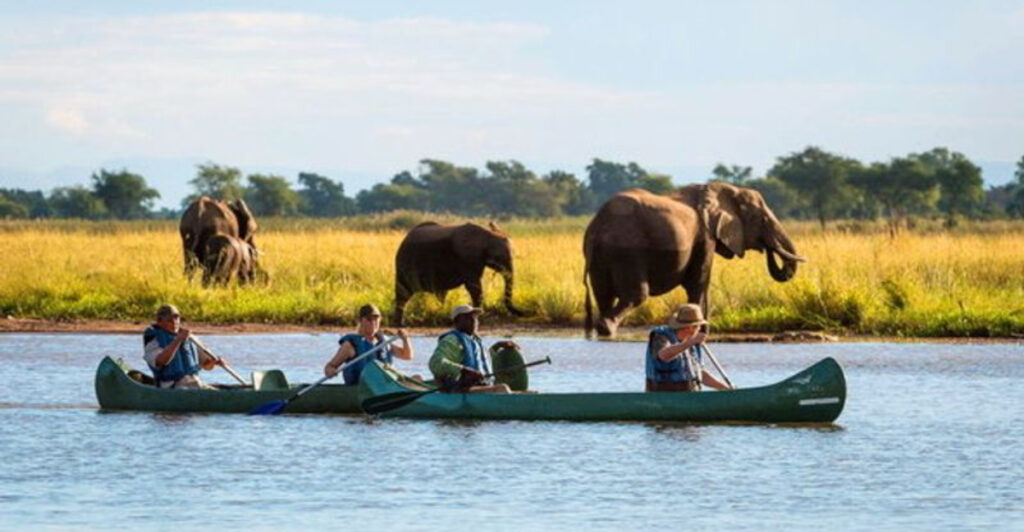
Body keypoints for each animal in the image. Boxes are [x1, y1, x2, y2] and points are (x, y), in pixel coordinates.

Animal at [393, 221, 526, 326]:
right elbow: (474, 286)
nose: (522, 313)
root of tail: (405, 237)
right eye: (499, 257)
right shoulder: (468, 258)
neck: (487, 235)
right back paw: (401, 324)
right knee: (403, 292)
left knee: (440, 294)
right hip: (405, 263)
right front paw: (479, 315)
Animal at [583, 182, 805, 337]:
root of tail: (599, 224)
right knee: (636, 294)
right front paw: (702, 331)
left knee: (604, 294)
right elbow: (699, 282)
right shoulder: (705, 236)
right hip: (627, 249)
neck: (722, 189)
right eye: (763, 219)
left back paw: (604, 331)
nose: (768, 248)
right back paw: (607, 330)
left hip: (600, 253)